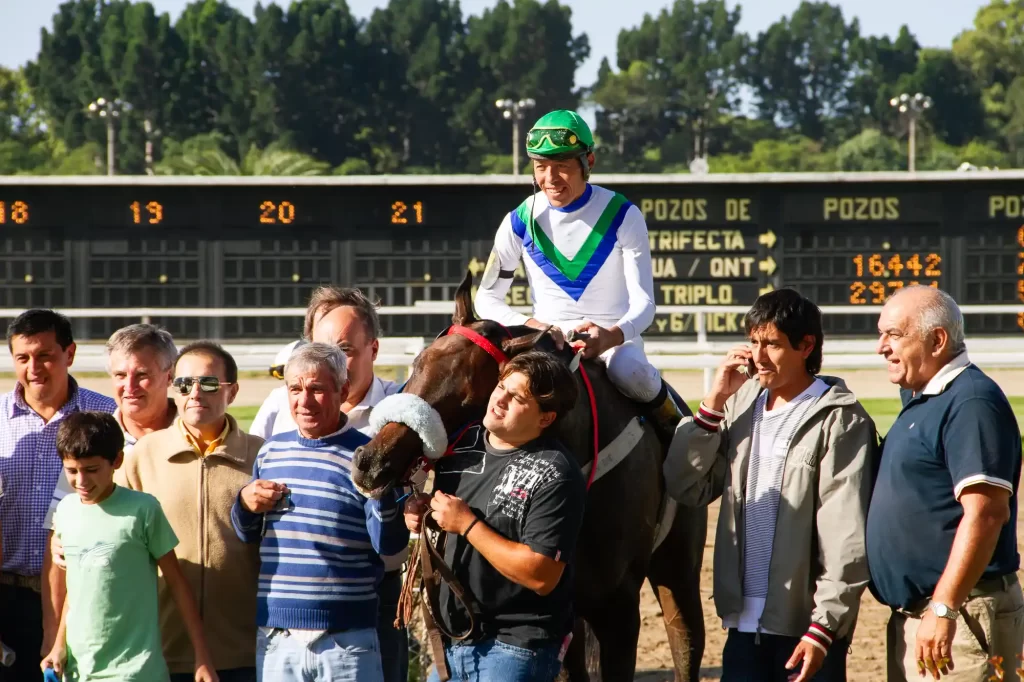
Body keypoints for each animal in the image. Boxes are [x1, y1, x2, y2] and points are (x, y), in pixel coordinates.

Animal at [348, 272, 708, 679]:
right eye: (418, 364)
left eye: (468, 398)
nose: (371, 462)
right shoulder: (562, 614)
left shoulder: (619, 608)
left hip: (677, 568)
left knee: (686, 641)